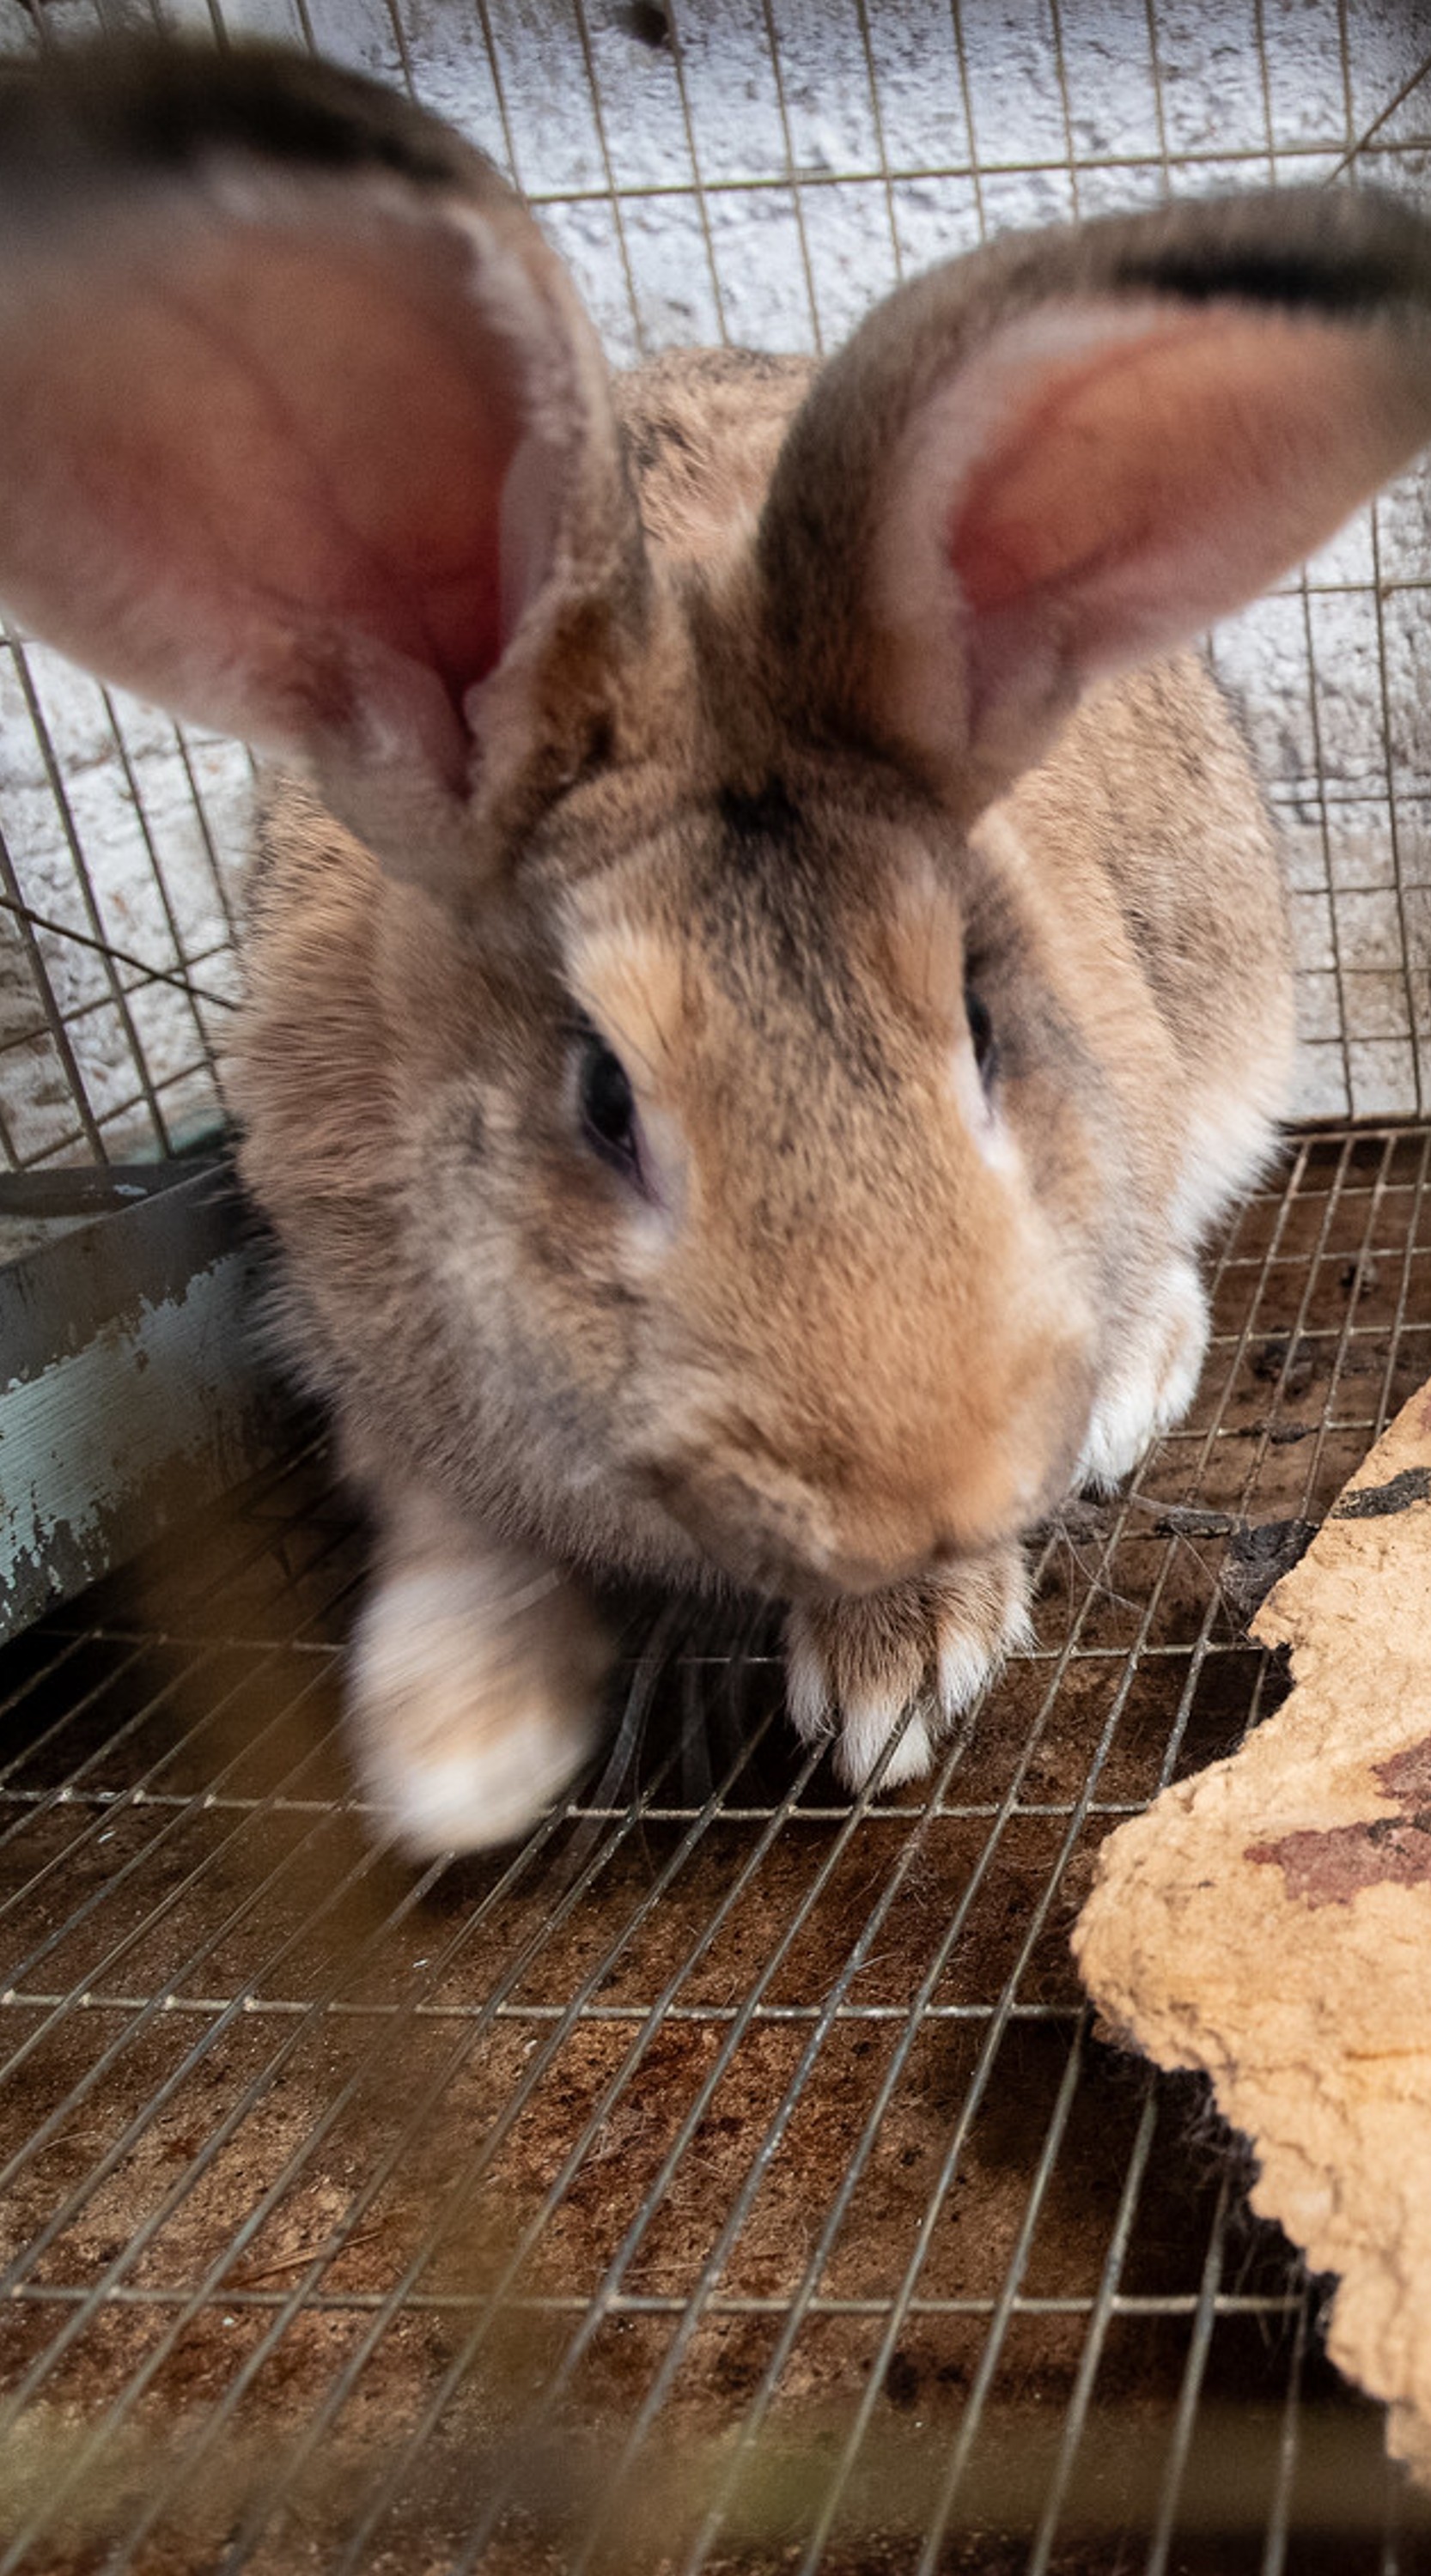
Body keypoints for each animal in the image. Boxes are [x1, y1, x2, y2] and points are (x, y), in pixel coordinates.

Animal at [0, 41, 1428, 1857]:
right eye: (603, 1100)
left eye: (981, 1028)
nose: (910, 1498)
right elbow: (444, 1533)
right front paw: (456, 1754)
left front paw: (901, 1665)